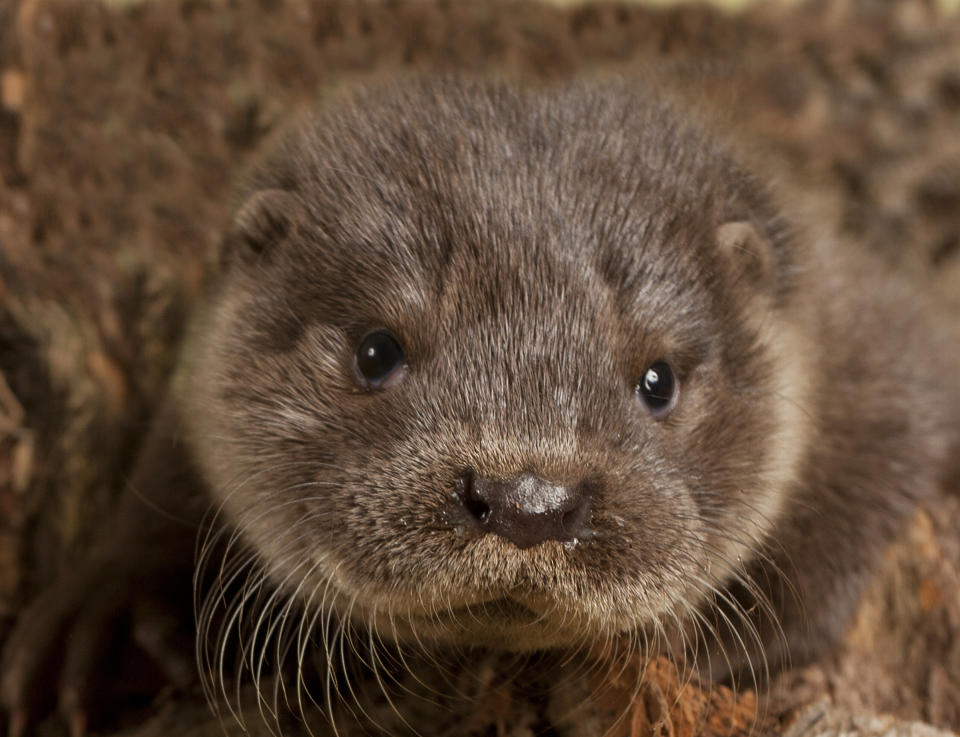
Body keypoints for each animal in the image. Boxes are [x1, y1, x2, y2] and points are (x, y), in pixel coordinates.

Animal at [1, 77, 960, 732]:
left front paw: (720, 638)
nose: (528, 501)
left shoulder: (869, 335)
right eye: (376, 350)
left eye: (658, 379)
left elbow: (883, 448)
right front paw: (115, 609)